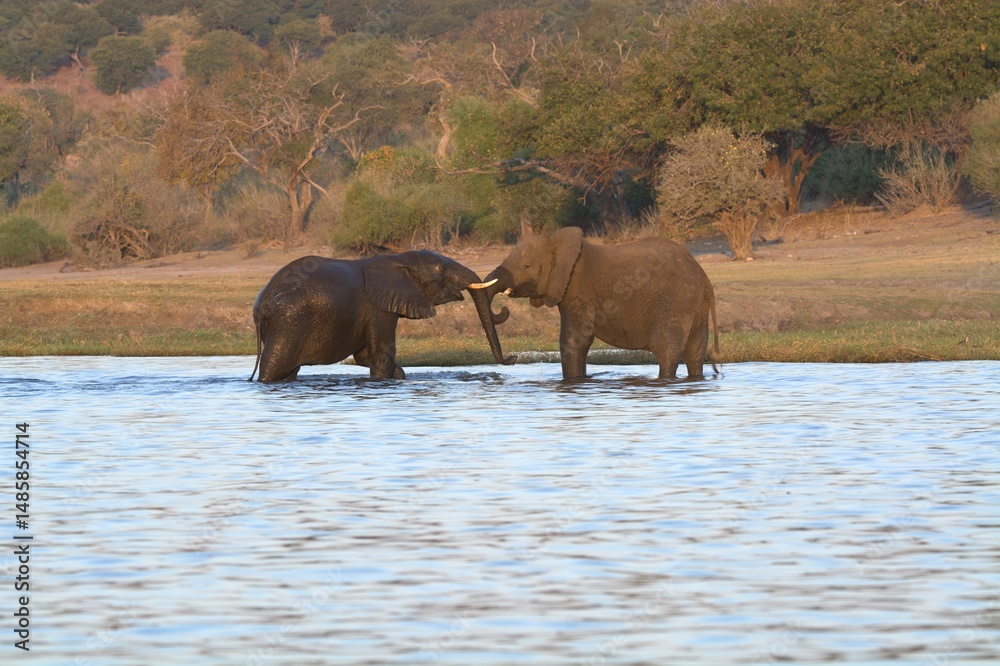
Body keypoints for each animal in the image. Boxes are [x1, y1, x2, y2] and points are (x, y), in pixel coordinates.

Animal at [249, 250, 508, 382]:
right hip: (288, 321)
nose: (512, 358)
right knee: (274, 365)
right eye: (442, 270)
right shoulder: (379, 308)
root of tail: (260, 306)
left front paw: (398, 377)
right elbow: (379, 355)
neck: (400, 259)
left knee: (288, 371)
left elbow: (365, 356)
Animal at [475, 226, 720, 380]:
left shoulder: (579, 293)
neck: (557, 241)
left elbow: (573, 341)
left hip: (675, 302)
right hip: (694, 307)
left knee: (666, 351)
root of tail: (705, 281)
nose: (514, 358)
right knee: (695, 354)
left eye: (526, 266)